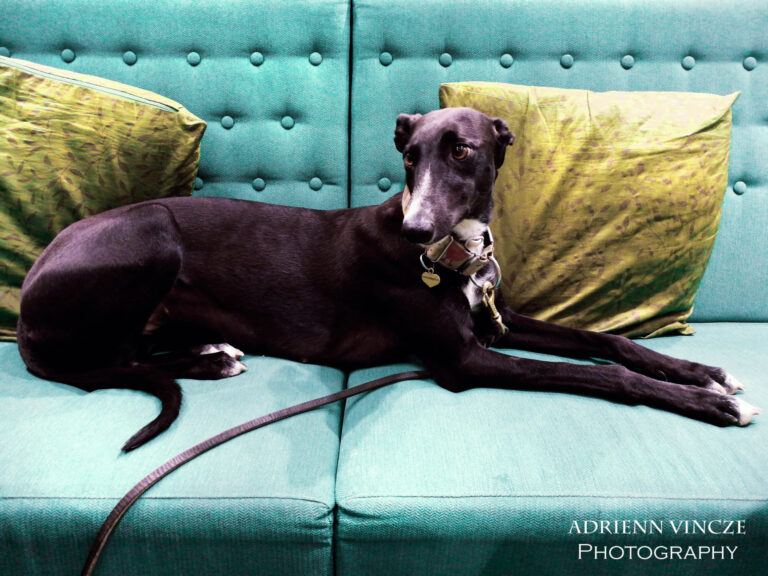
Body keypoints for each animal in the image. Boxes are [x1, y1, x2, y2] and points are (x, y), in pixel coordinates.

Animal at [17, 107, 761, 452]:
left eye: (462, 150)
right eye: (409, 155)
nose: (416, 232)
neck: (458, 262)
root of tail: (25, 304)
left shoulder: (494, 318)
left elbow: (604, 342)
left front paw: (702, 375)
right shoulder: (464, 358)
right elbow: (602, 374)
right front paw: (708, 404)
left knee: (133, 353)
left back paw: (210, 354)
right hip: (150, 237)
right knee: (117, 357)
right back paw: (207, 360)